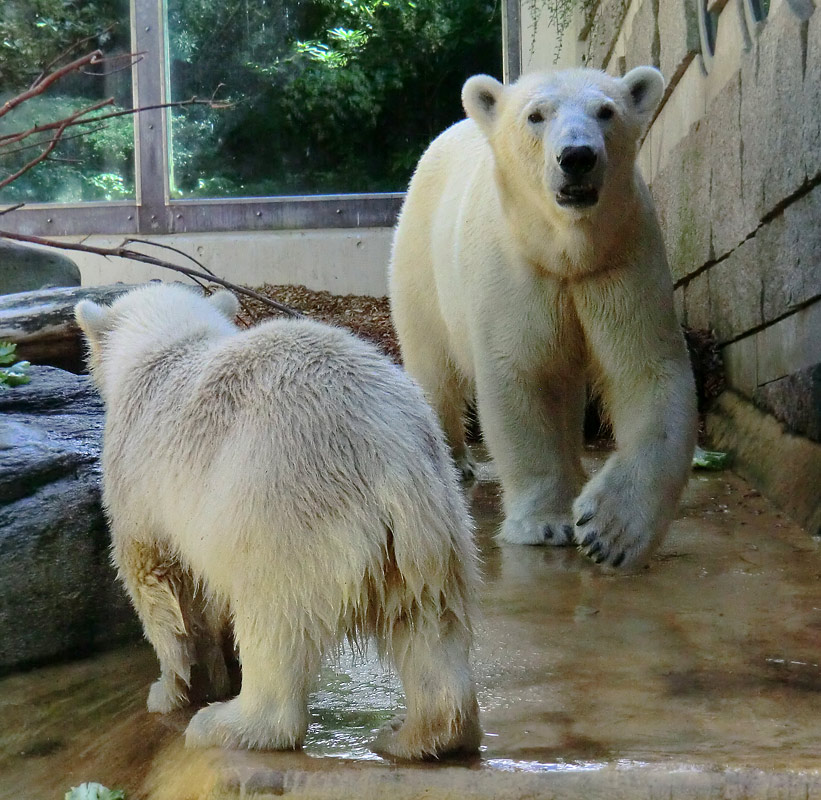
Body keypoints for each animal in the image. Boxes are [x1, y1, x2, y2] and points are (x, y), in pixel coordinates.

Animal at [75, 284, 480, 760]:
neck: (168, 347)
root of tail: (388, 454)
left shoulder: (137, 479)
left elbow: (156, 580)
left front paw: (172, 689)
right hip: (432, 527)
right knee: (429, 621)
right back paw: (413, 733)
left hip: (285, 511)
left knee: (274, 619)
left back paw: (224, 724)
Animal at [388, 67, 696, 568]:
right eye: (536, 115)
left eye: (606, 111)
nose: (577, 157)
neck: (564, 252)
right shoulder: (516, 270)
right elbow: (523, 375)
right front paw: (547, 524)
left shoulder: (620, 260)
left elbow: (647, 371)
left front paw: (611, 531)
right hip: (419, 262)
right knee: (432, 365)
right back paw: (454, 461)